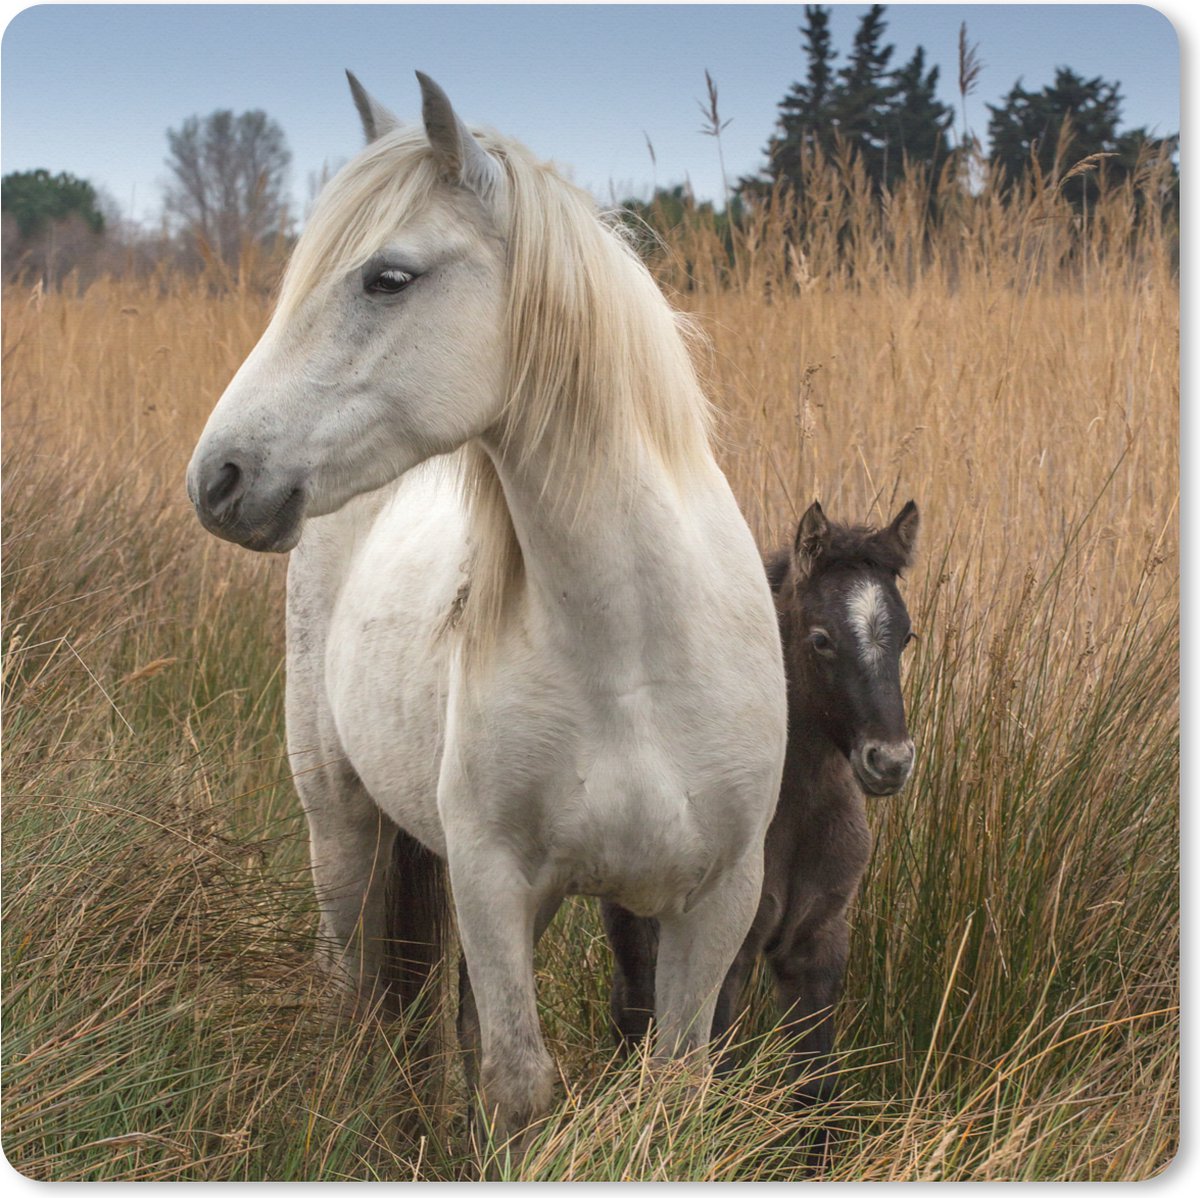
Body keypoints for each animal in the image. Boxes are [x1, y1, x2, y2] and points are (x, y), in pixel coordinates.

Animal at [185, 72, 787, 1142]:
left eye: (387, 278)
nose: (219, 479)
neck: (634, 656)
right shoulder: (493, 881)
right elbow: (516, 1084)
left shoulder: (715, 901)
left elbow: (670, 1088)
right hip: (340, 822)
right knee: (355, 988)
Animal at [602, 499, 918, 1123]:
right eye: (821, 640)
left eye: (906, 636)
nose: (890, 761)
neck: (795, 816)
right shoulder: (731, 953)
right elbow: (715, 1080)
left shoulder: (817, 947)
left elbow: (816, 1091)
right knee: (635, 1013)